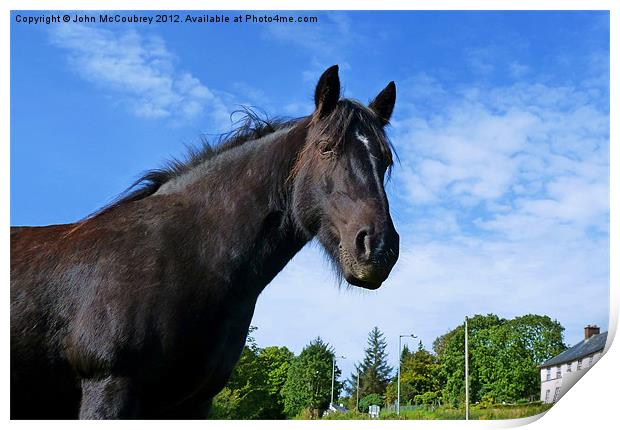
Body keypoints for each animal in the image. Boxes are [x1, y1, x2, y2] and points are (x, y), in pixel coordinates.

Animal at [10, 65, 402, 418]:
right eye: (325, 149)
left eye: (384, 161)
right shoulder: (109, 386)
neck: (182, 258)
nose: (378, 247)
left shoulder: (194, 403)